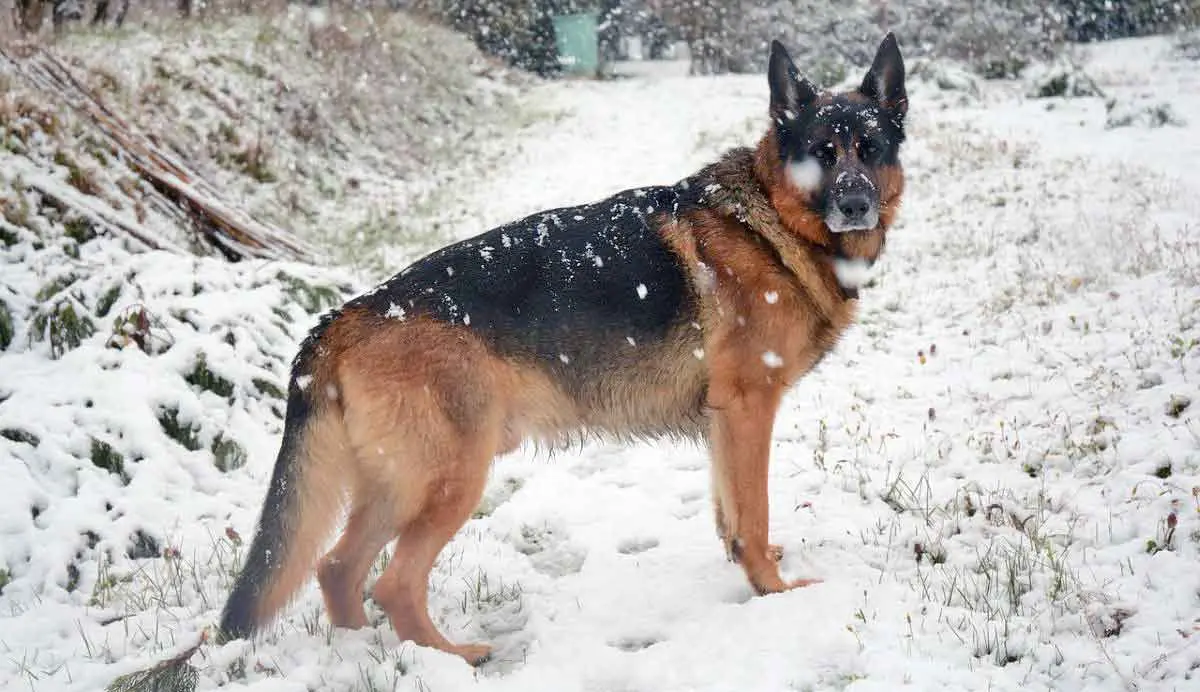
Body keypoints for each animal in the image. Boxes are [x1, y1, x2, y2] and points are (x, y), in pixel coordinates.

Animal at [218, 33, 907, 662]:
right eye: (822, 154)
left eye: (870, 150)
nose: (855, 204)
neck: (771, 221)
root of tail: (344, 316)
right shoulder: (749, 408)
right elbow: (754, 510)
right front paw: (774, 590)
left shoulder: (725, 421)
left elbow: (731, 512)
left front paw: (750, 563)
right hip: (449, 480)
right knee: (390, 582)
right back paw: (453, 657)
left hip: (398, 485)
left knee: (337, 568)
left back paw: (365, 652)